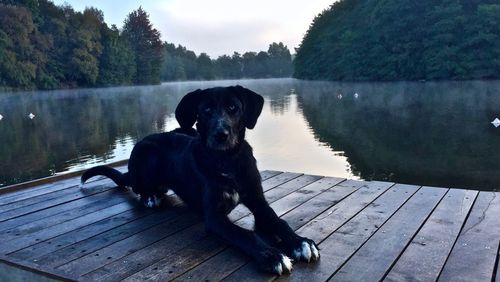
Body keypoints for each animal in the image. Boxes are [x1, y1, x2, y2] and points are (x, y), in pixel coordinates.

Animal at [80, 85, 318, 274]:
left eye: (233, 108)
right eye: (206, 110)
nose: (221, 134)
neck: (228, 162)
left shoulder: (258, 201)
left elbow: (279, 221)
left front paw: (301, 242)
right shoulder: (214, 217)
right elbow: (245, 234)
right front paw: (272, 256)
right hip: (147, 152)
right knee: (138, 188)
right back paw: (150, 197)